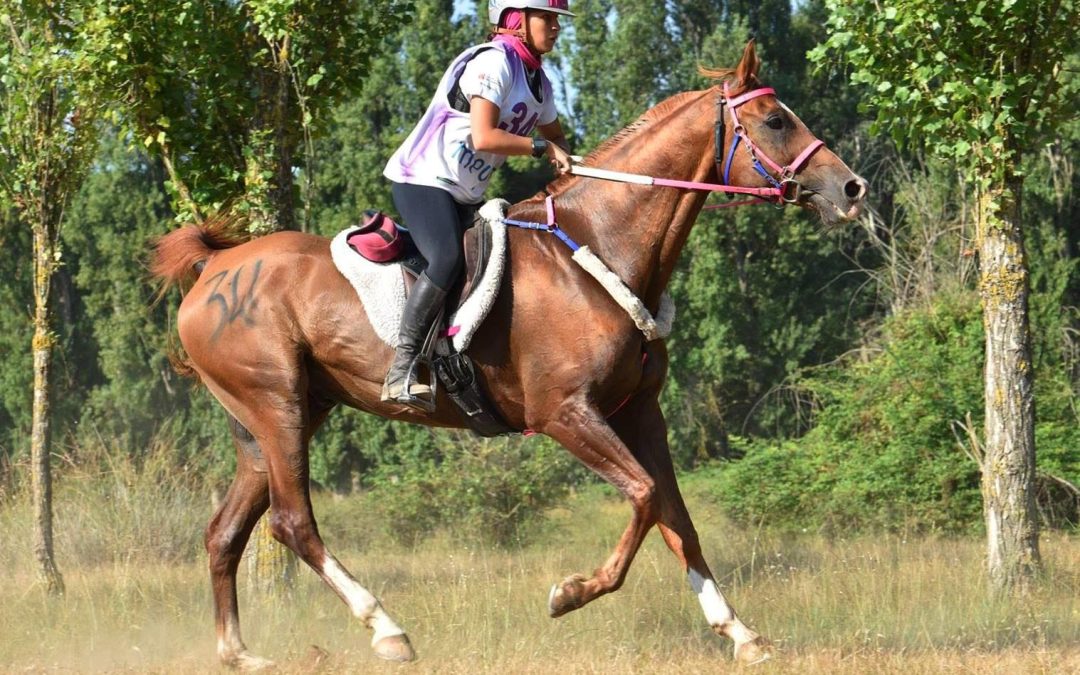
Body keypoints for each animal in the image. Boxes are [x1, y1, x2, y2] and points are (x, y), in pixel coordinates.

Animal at [147, 42, 864, 669]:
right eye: (775, 120)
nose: (851, 189)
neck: (599, 244)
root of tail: (215, 270)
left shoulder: (639, 413)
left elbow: (674, 515)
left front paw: (739, 632)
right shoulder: (564, 413)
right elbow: (641, 495)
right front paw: (570, 593)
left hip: (269, 422)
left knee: (225, 532)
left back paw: (240, 652)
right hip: (280, 407)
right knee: (293, 523)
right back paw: (387, 629)